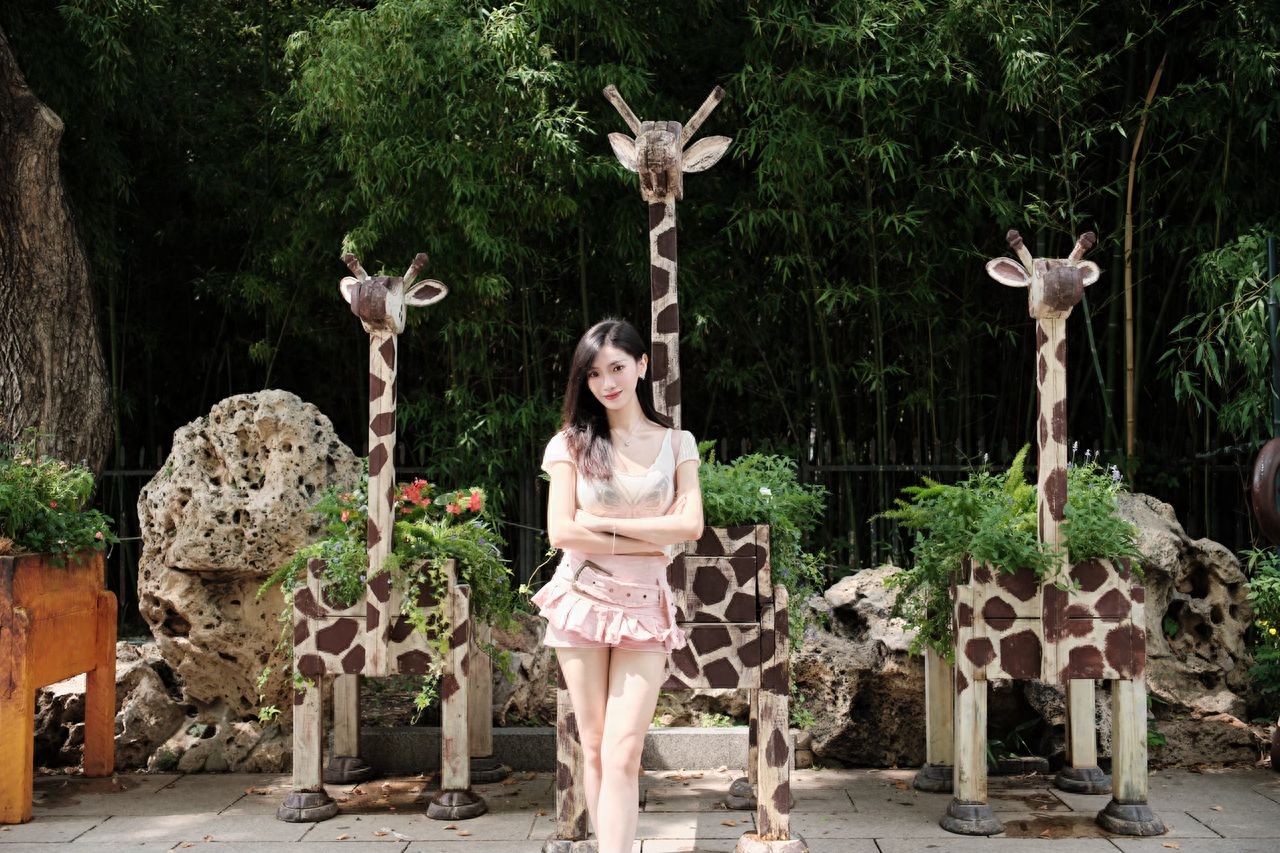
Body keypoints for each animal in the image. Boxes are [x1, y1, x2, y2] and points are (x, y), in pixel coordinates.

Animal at [278, 252, 487, 823]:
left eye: (400, 291)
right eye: (359, 290)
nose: (373, 304)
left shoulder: (452, 643)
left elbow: (454, 726)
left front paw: (454, 800)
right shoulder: (309, 647)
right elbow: (309, 725)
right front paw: (307, 800)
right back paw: (347, 767)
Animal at [936, 230, 1164, 836]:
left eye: (1072, 264)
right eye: (1032, 269)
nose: (1062, 286)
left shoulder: (1126, 642)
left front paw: (1130, 815)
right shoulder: (970, 644)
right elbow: (970, 725)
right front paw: (969, 813)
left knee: (1079, 700)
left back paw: (1082, 776)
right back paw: (937, 775)